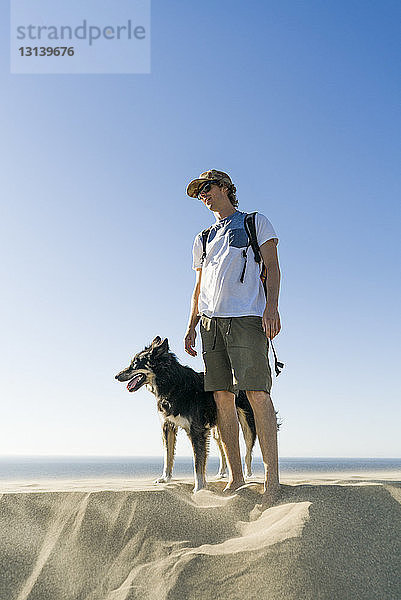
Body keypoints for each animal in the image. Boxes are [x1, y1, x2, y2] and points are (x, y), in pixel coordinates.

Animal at [113, 336, 256, 490]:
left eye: (135, 363)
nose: (116, 376)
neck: (172, 383)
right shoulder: (168, 426)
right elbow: (168, 456)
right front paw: (165, 478)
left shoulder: (196, 431)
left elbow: (198, 464)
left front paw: (199, 488)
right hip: (219, 429)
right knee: (224, 450)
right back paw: (223, 474)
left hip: (247, 424)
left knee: (248, 451)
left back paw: (247, 476)